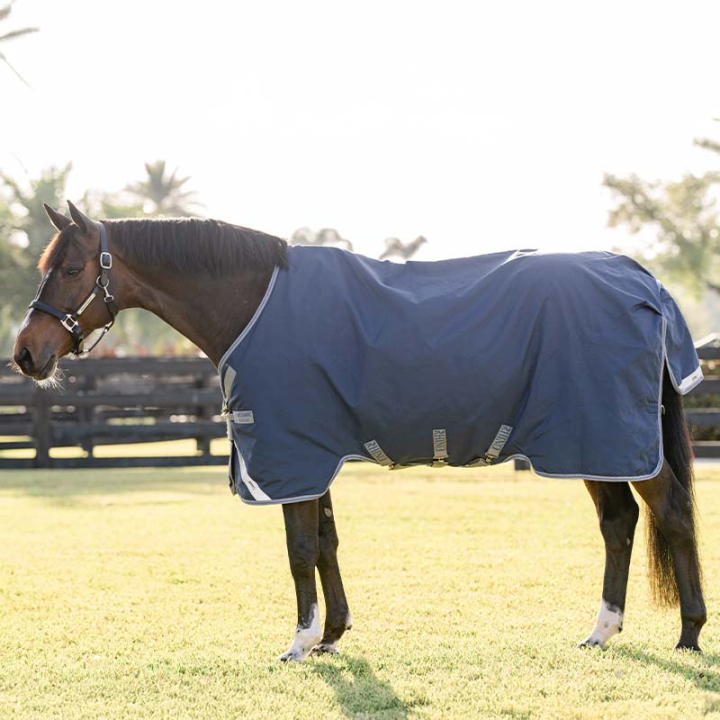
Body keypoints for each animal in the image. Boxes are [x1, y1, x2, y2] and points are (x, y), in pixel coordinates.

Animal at [12, 202, 706, 661]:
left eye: (70, 269)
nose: (25, 354)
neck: (255, 301)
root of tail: (642, 279)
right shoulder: (315, 454)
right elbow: (326, 542)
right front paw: (331, 635)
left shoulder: (291, 454)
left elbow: (298, 549)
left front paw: (298, 643)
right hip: (589, 442)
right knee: (619, 522)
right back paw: (602, 631)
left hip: (610, 438)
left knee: (669, 512)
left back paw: (690, 633)